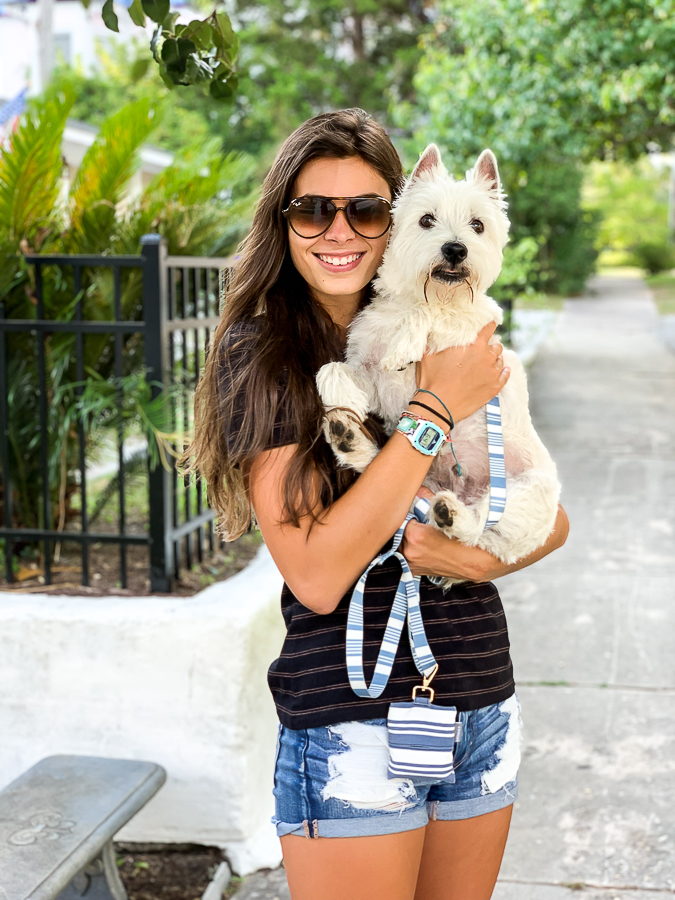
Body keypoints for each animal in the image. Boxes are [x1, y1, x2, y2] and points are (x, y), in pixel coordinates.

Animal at [316, 144, 560, 584]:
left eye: (478, 225)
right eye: (426, 219)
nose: (455, 250)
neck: (420, 295)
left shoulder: (473, 329)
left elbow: (430, 315)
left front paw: (404, 346)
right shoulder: (371, 374)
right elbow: (333, 367)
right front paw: (341, 395)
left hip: (526, 494)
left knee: (481, 528)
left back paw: (453, 515)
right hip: (410, 483)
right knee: (386, 480)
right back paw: (349, 439)